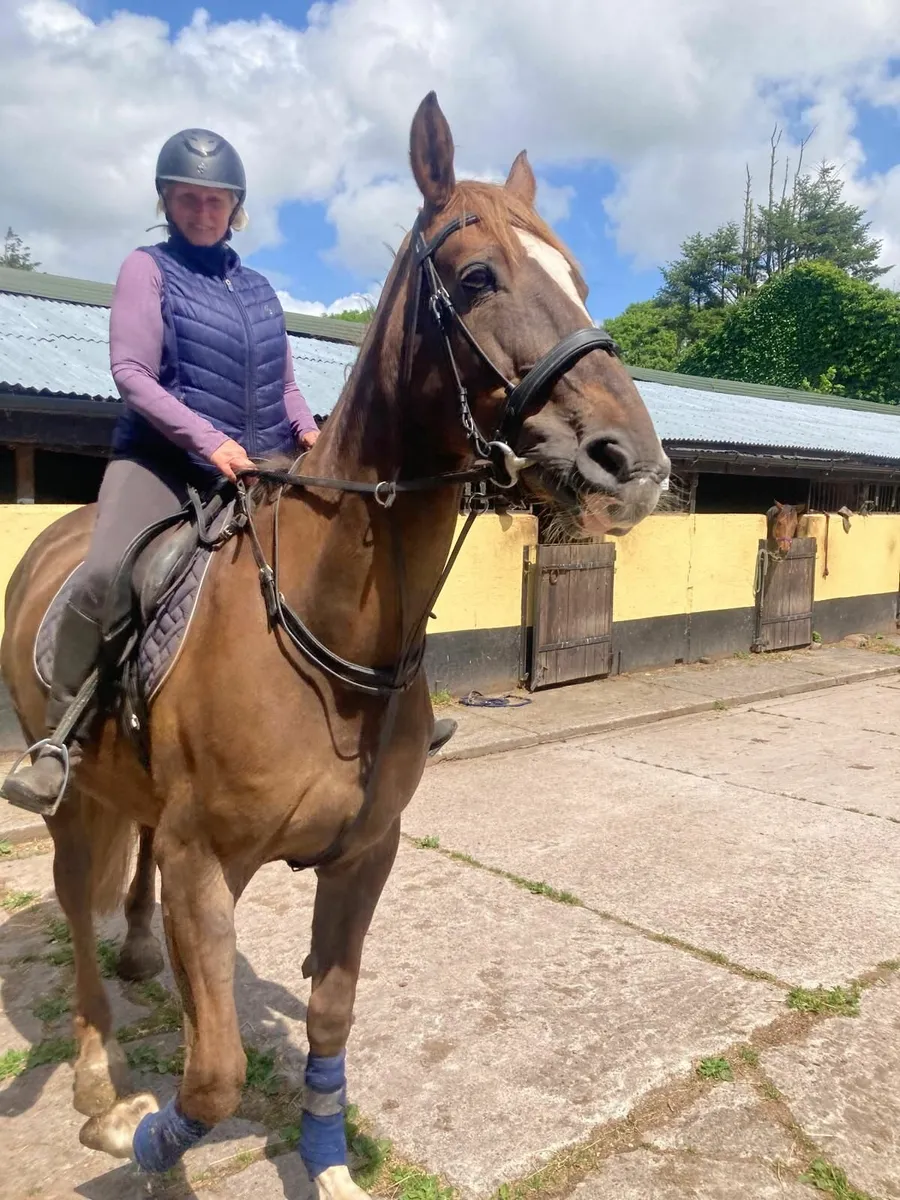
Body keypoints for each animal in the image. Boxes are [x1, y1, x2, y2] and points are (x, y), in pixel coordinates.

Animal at [0, 93, 670, 1195]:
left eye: (578, 277)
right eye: (478, 278)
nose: (635, 464)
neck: (326, 641)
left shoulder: (364, 856)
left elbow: (329, 1016)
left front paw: (323, 1160)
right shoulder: (200, 863)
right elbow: (216, 1075)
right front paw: (148, 1145)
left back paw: (140, 962)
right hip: (73, 797)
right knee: (72, 911)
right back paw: (100, 1084)